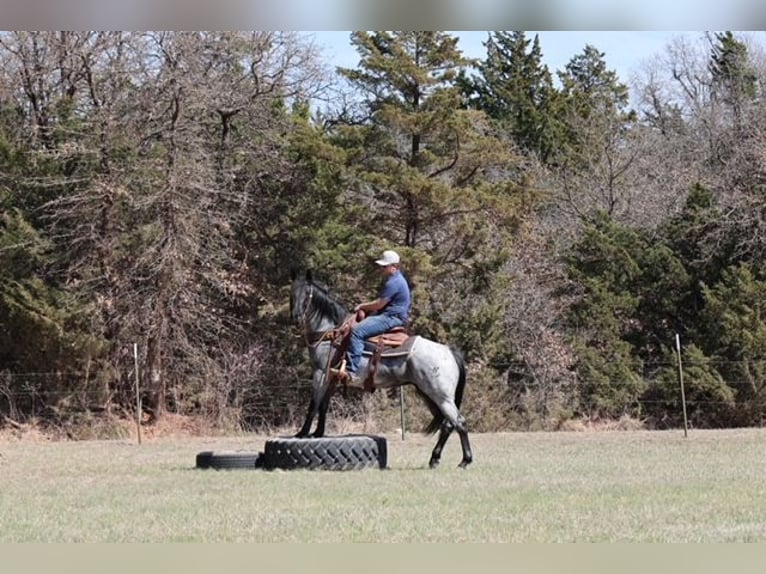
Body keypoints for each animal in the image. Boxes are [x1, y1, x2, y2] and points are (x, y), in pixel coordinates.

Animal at [289, 270, 473, 469]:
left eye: (307, 294)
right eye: (292, 292)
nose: (295, 317)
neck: (332, 333)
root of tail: (449, 351)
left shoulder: (320, 373)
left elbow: (313, 405)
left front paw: (302, 433)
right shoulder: (331, 378)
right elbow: (323, 406)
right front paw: (318, 433)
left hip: (441, 396)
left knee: (459, 423)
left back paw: (465, 460)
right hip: (429, 395)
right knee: (448, 425)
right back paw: (435, 459)